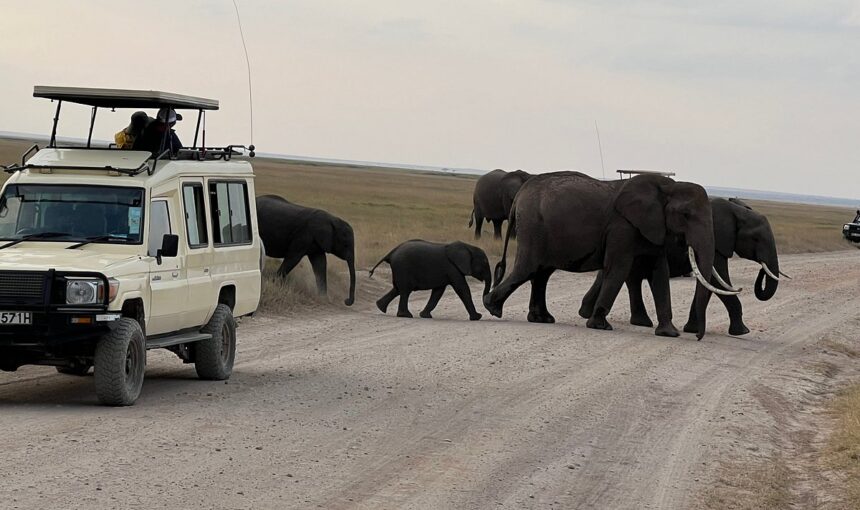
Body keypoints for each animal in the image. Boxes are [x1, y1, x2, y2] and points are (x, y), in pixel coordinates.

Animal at [483, 172, 740, 339]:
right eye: (686, 215)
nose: (697, 336)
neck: (667, 186)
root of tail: (520, 194)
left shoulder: (654, 228)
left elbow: (659, 273)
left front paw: (669, 333)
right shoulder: (622, 227)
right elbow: (619, 268)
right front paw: (599, 326)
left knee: (541, 273)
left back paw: (541, 319)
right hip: (533, 226)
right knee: (528, 268)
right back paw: (492, 308)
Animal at [579, 197, 785, 336]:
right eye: (756, 239)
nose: (762, 269)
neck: (738, 211)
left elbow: (709, 284)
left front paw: (692, 329)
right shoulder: (716, 241)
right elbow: (718, 282)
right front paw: (743, 332)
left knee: (625, 277)